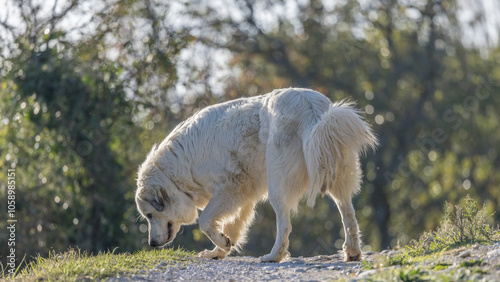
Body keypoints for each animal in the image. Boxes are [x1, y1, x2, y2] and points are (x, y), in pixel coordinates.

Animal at [135, 88, 376, 262]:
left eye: (150, 215)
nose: (152, 244)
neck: (179, 166)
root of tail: (310, 108)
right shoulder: (243, 194)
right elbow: (232, 226)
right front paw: (220, 249)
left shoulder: (230, 188)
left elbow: (204, 221)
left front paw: (221, 244)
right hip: (334, 172)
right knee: (348, 215)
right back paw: (353, 252)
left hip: (277, 186)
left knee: (284, 225)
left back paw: (273, 256)